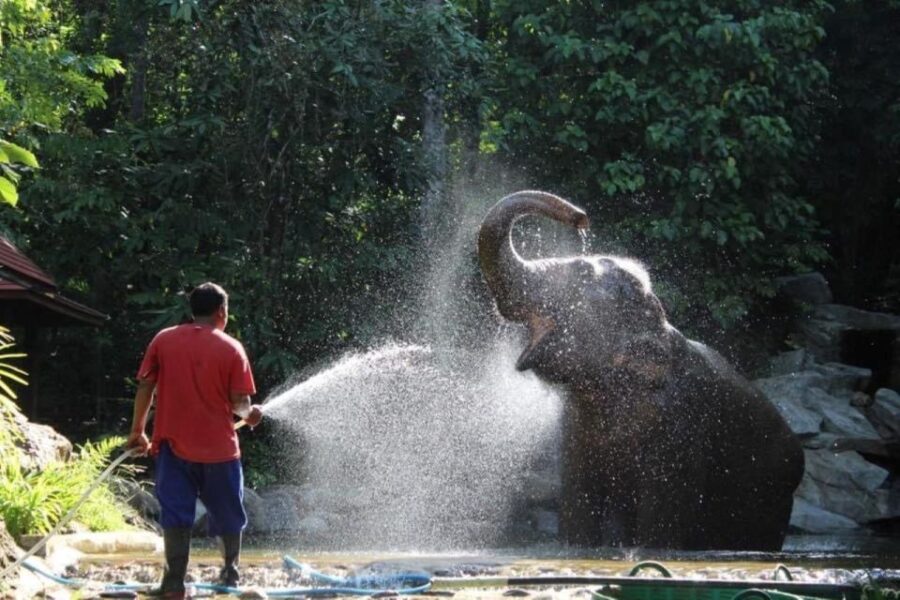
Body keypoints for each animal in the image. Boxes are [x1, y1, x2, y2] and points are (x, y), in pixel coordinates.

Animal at [478, 190, 804, 551]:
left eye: (582, 273)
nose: (581, 219)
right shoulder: (577, 431)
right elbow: (579, 501)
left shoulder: (680, 429)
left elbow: (662, 517)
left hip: (773, 497)